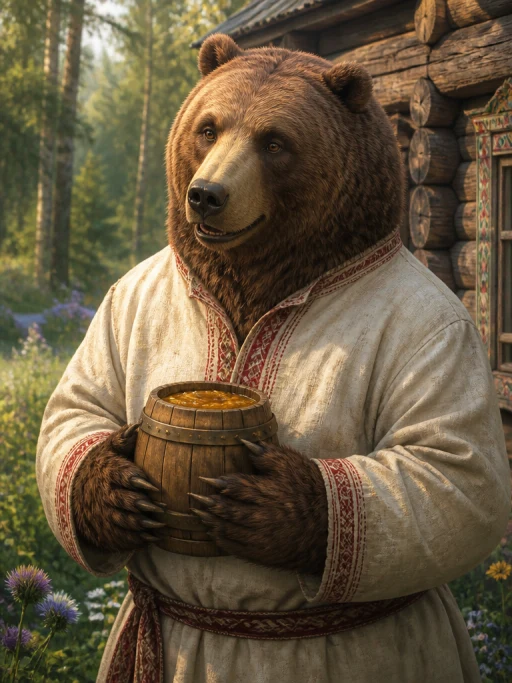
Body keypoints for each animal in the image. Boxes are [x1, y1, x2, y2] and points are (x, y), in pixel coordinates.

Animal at [39, 32, 509, 683]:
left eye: (275, 141)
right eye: (209, 127)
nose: (206, 195)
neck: (258, 282)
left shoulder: (434, 332)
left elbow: (449, 467)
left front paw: (266, 503)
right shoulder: (127, 299)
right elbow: (79, 406)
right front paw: (117, 490)